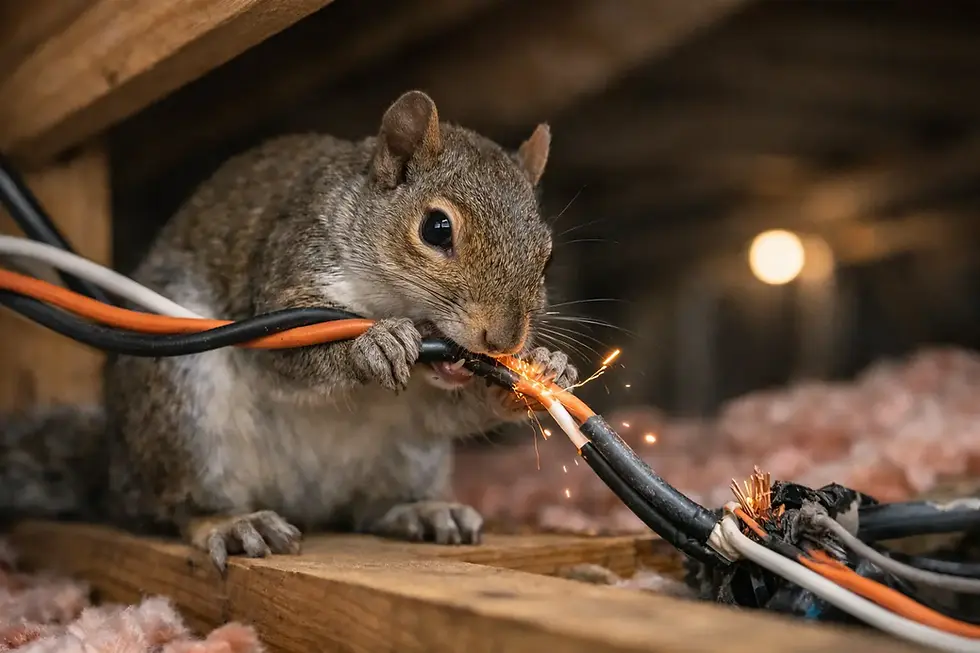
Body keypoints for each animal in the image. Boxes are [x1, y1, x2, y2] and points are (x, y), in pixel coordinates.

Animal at [0, 91, 578, 571]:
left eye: (548, 258)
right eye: (436, 229)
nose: (504, 340)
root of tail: (117, 474)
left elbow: (452, 410)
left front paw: (546, 372)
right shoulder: (284, 283)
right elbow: (287, 358)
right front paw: (374, 342)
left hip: (412, 458)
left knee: (368, 509)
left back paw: (422, 511)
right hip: (180, 405)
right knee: (180, 506)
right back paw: (232, 523)